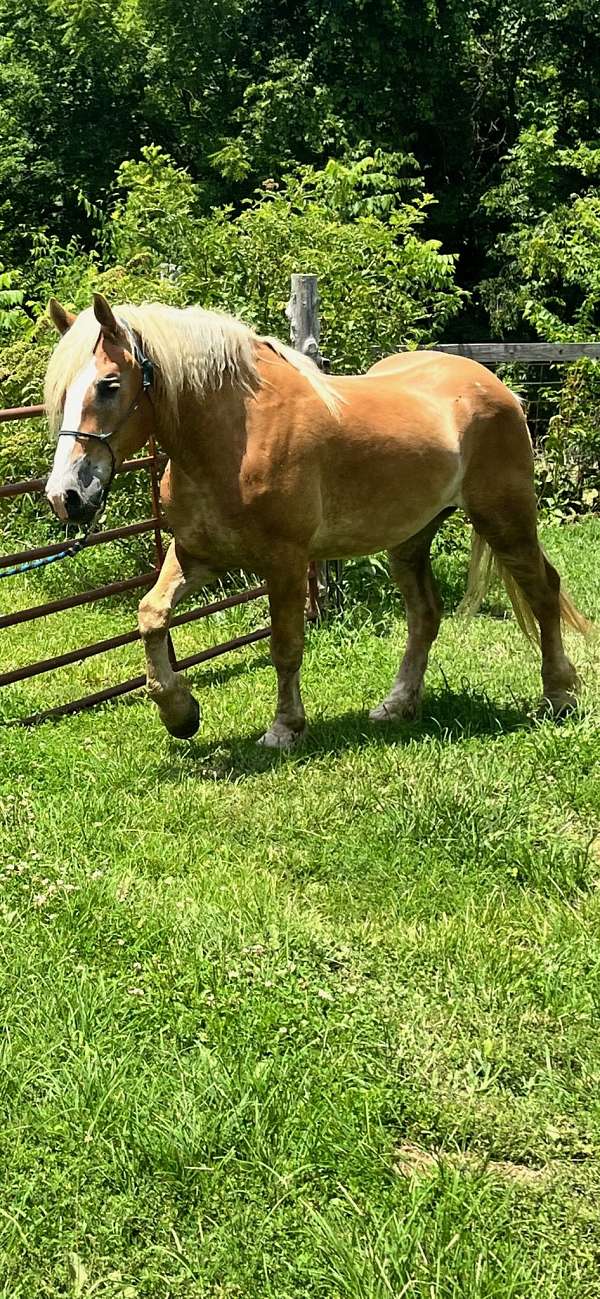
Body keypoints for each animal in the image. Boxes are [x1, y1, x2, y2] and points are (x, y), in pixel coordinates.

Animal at [43, 293, 590, 747]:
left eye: (109, 385)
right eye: (63, 392)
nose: (65, 496)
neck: (237, 437)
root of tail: (497, 387)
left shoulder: (285, 563)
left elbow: (285, 646)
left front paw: (285, 728)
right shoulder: (197, 555)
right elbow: (151, 615)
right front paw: (180, 713)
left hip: (505, 518)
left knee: (543, 592)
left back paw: (559, 695)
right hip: (411, 536)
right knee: (425, 613)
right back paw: (397, 705)